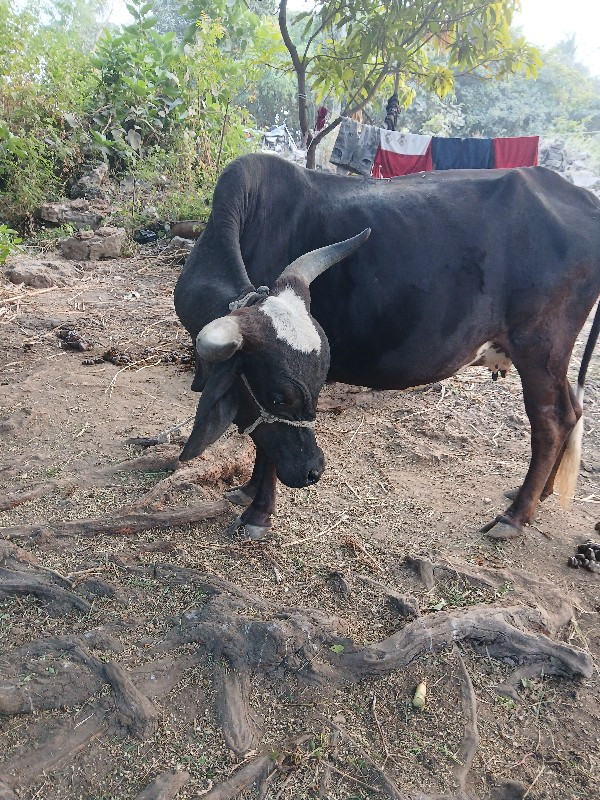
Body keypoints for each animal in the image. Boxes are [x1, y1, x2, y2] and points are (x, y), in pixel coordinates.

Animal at [173, 152, 600, 544]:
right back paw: (541, 494)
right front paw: (247, 491)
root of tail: (582, 197)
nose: (314, 471)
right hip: (551, 360)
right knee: (573, 412)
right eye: (280, 396)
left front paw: (258, 513)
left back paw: (515, 516)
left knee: (551, 421)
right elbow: (265, 438)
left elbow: (268, 446)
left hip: (540, 350)